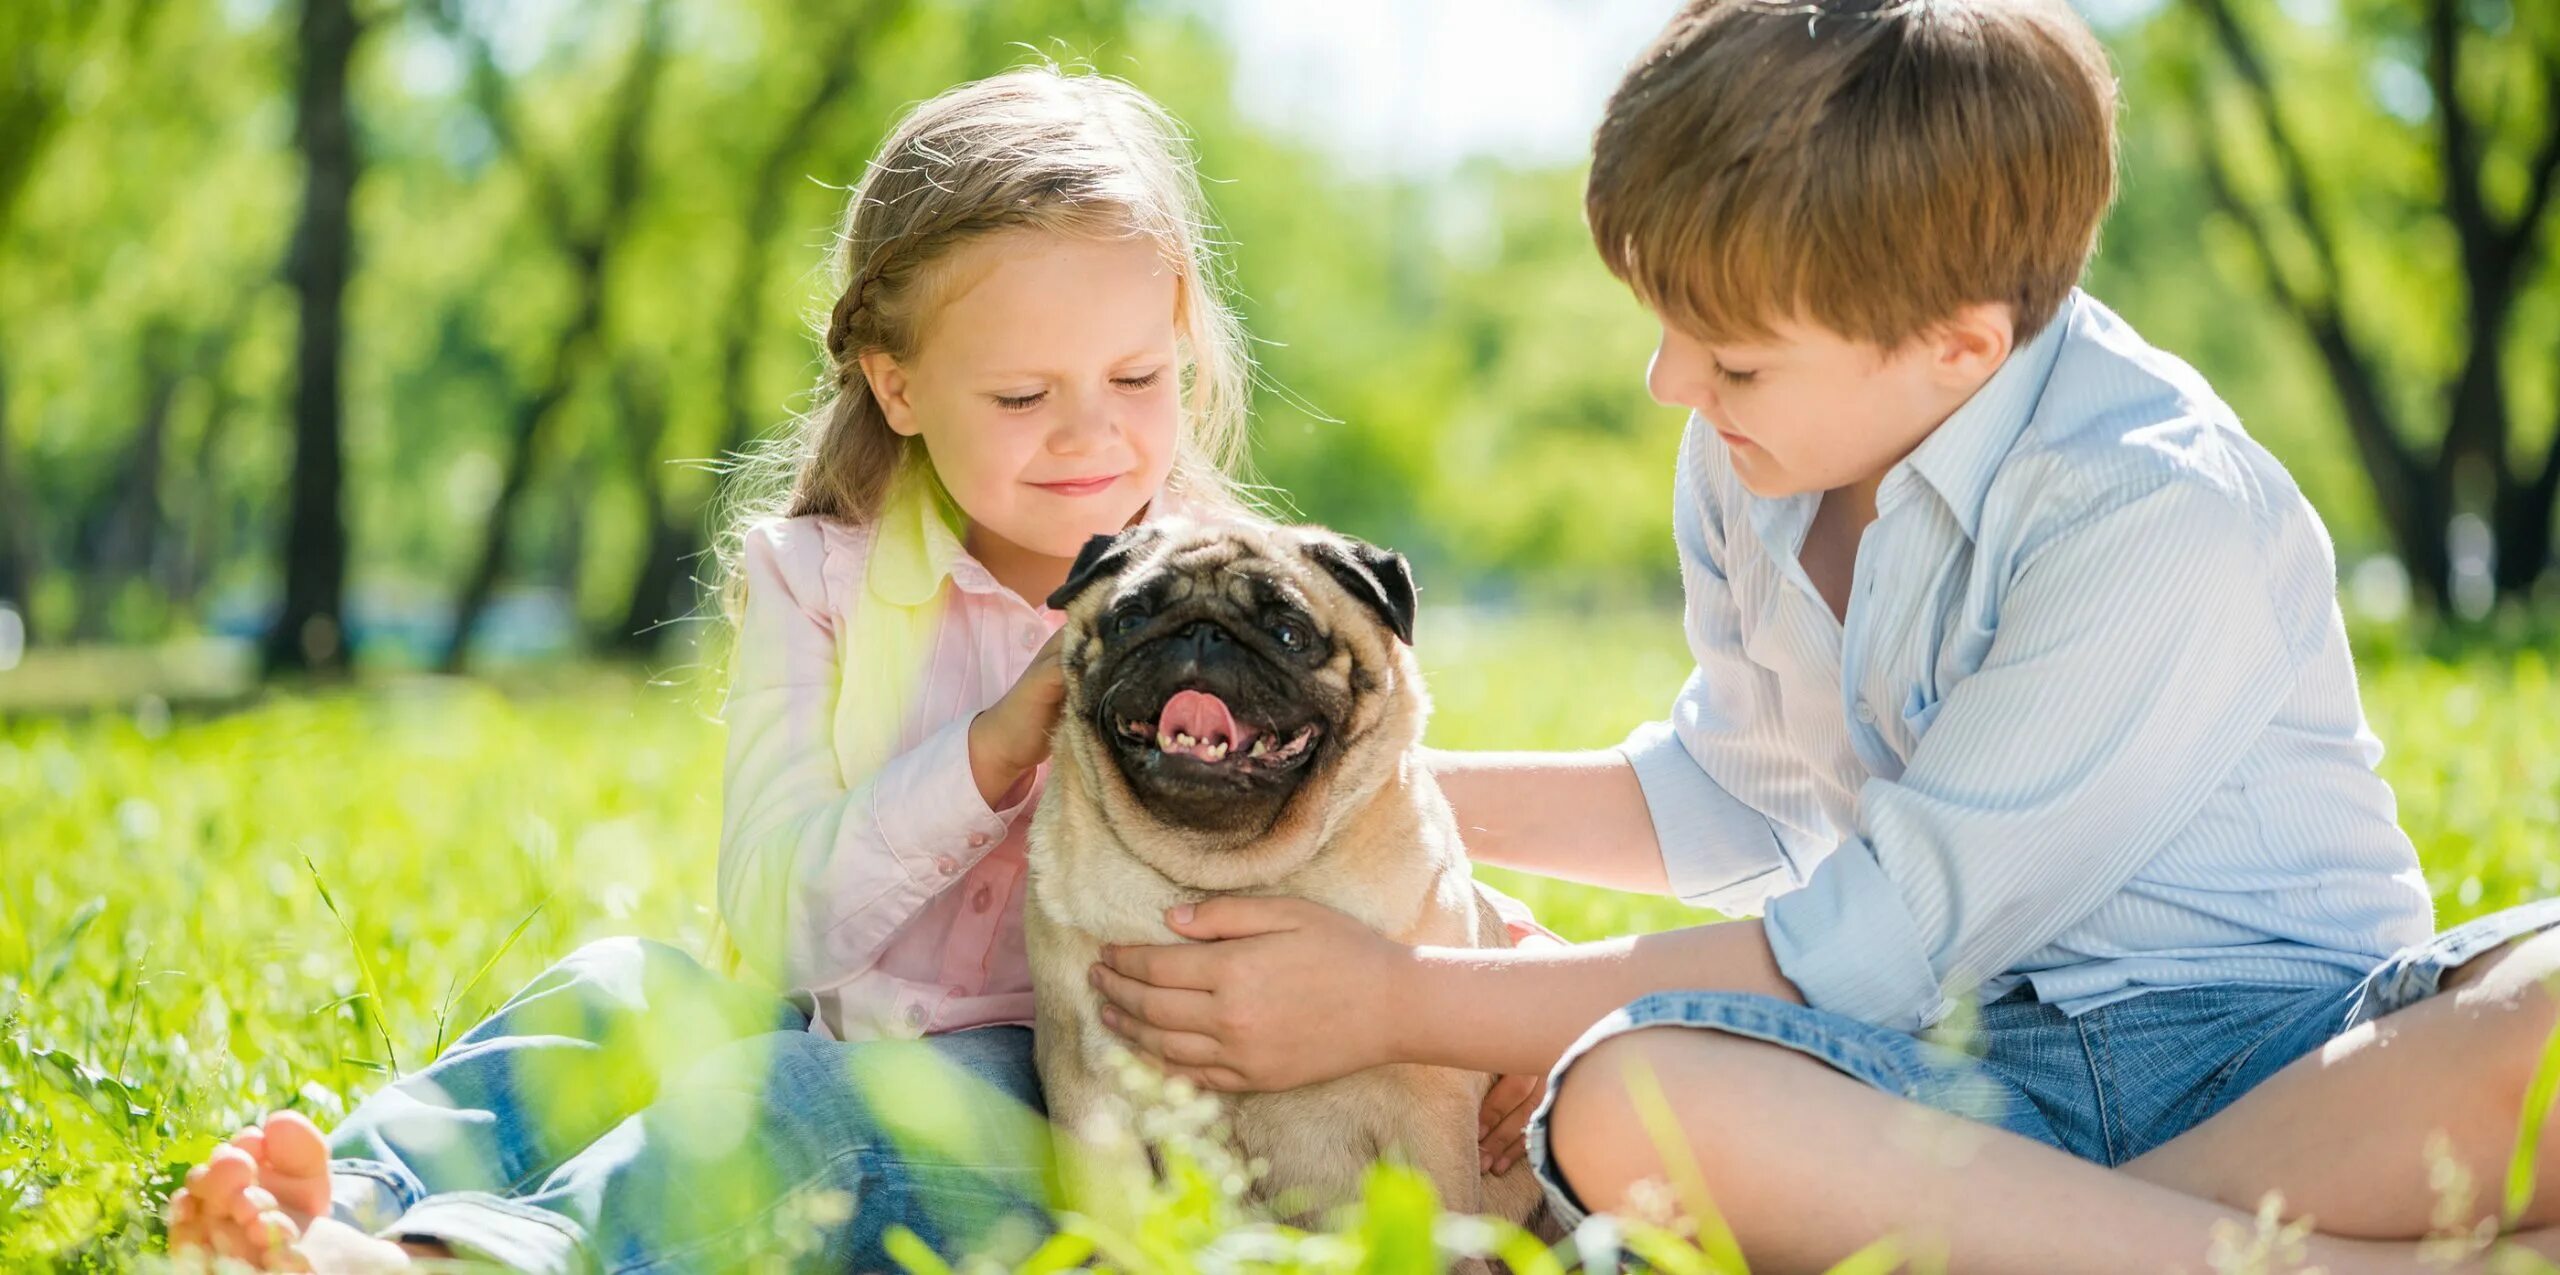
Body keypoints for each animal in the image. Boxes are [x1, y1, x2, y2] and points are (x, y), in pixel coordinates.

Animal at [1018, 519, 1536, 1234]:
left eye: (1288, 633)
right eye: (1130, 618)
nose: (1201, 632)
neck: (1224, 869)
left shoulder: (1426, 1112)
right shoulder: (1093, 1104)